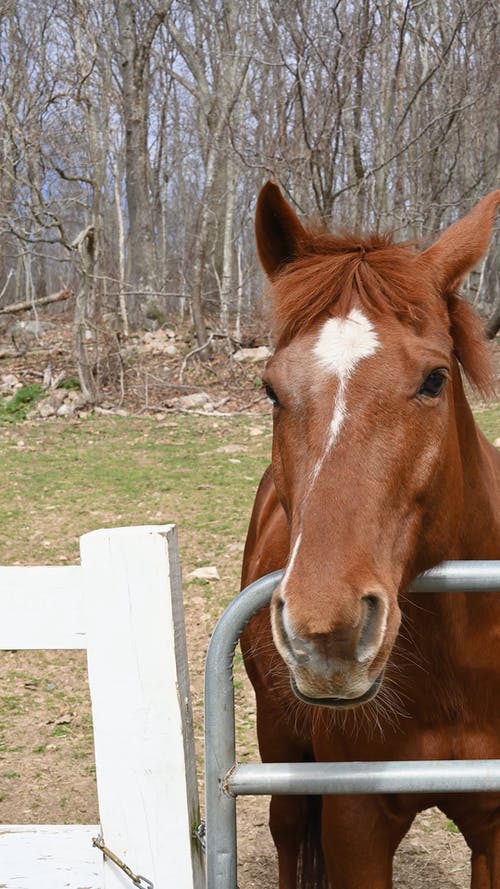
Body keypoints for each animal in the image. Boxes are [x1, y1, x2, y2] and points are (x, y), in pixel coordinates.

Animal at [240, 182, 498, 888]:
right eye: (271, 389)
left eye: (434, 379)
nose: (325, 635)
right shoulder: (357, 822)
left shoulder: (494, 828)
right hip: (280, 740)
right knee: (288, 831)